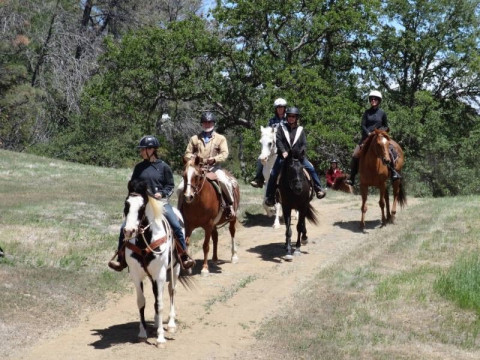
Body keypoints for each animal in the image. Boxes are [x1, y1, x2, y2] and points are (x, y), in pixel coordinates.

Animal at [123, 179, 183, 344]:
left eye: (142, 206)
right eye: (126, 204)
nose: (128, 231)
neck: (145, 241)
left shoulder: (160, 274)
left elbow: (160, 303)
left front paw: (160, 337)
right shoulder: (136, 274)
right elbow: (141, 301)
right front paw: (143, 332)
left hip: (174, 269)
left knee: (171, 291)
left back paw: (170, 323)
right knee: (157, 294)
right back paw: (157, 322)